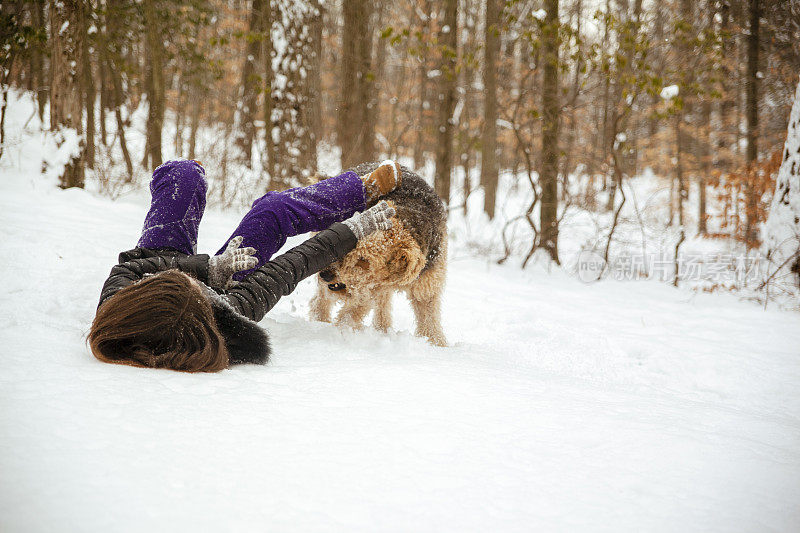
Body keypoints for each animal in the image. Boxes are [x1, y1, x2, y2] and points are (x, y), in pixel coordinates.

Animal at [308, 160, 446, 348]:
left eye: (364, 260)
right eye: (346, 244)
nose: (326, 274)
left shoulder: (425, 288)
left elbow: (430, 321)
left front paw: (437, 345)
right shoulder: (365, 291)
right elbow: (349, 314)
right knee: (319, 302)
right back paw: (320, 323)